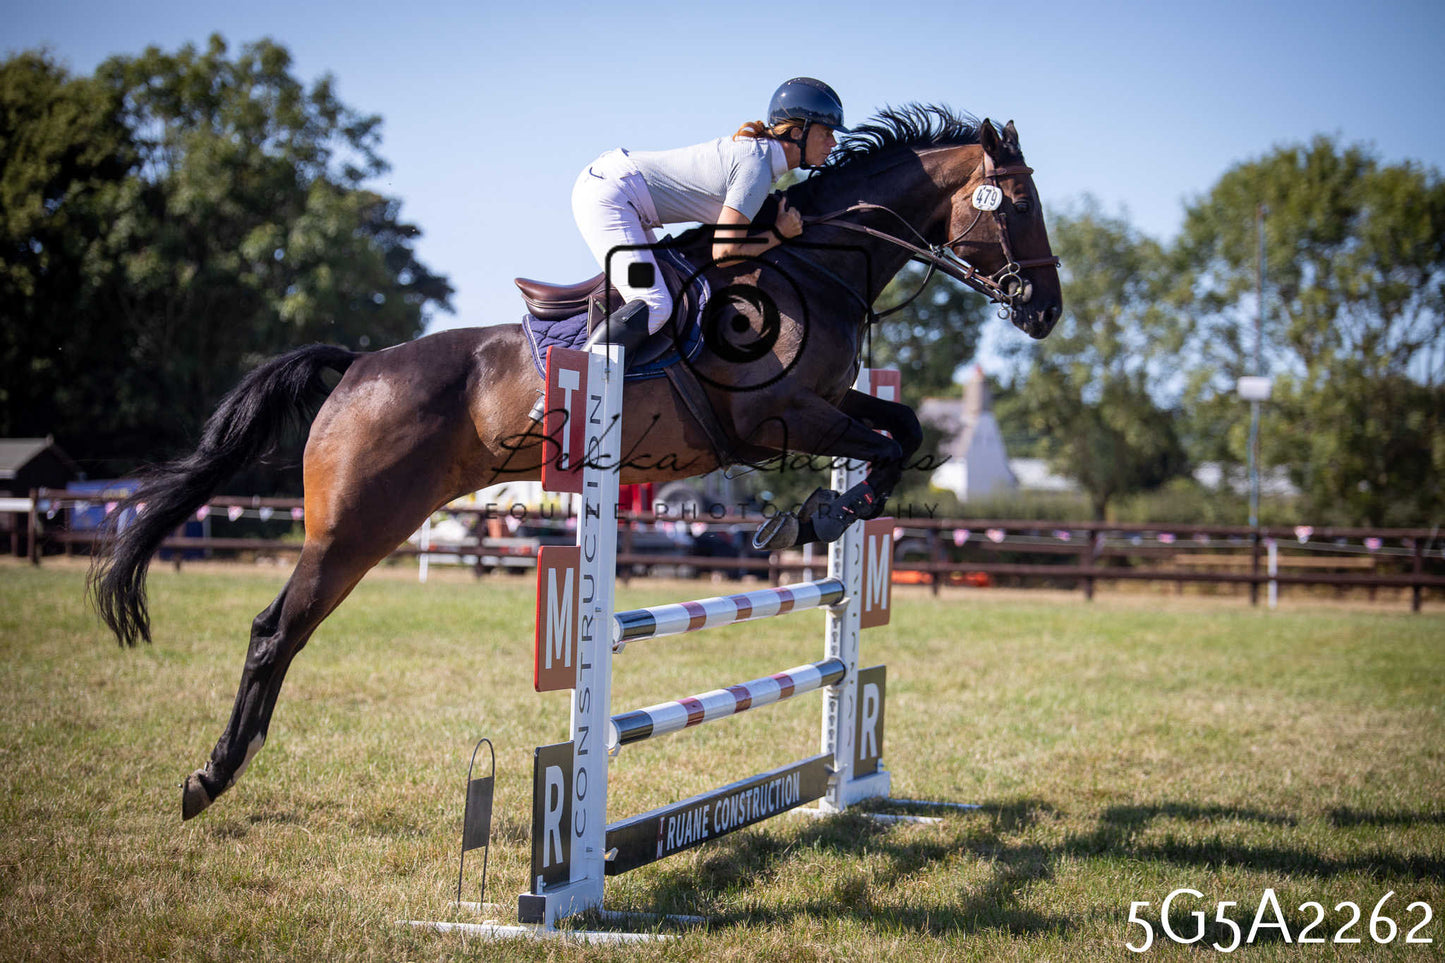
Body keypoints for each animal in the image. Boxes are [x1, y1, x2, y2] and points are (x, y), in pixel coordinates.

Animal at [90, 105, 1062, 820]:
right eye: (1014, 201)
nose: (1044, 310)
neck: (811, 268)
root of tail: (359, 365)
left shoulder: (824, 406)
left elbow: (899, 424)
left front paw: (809, 515)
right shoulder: (778, 416)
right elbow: (887, 447)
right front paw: (808, 515)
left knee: (283, 630)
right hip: (356, 525)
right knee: (274, 630)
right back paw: (211, 776)